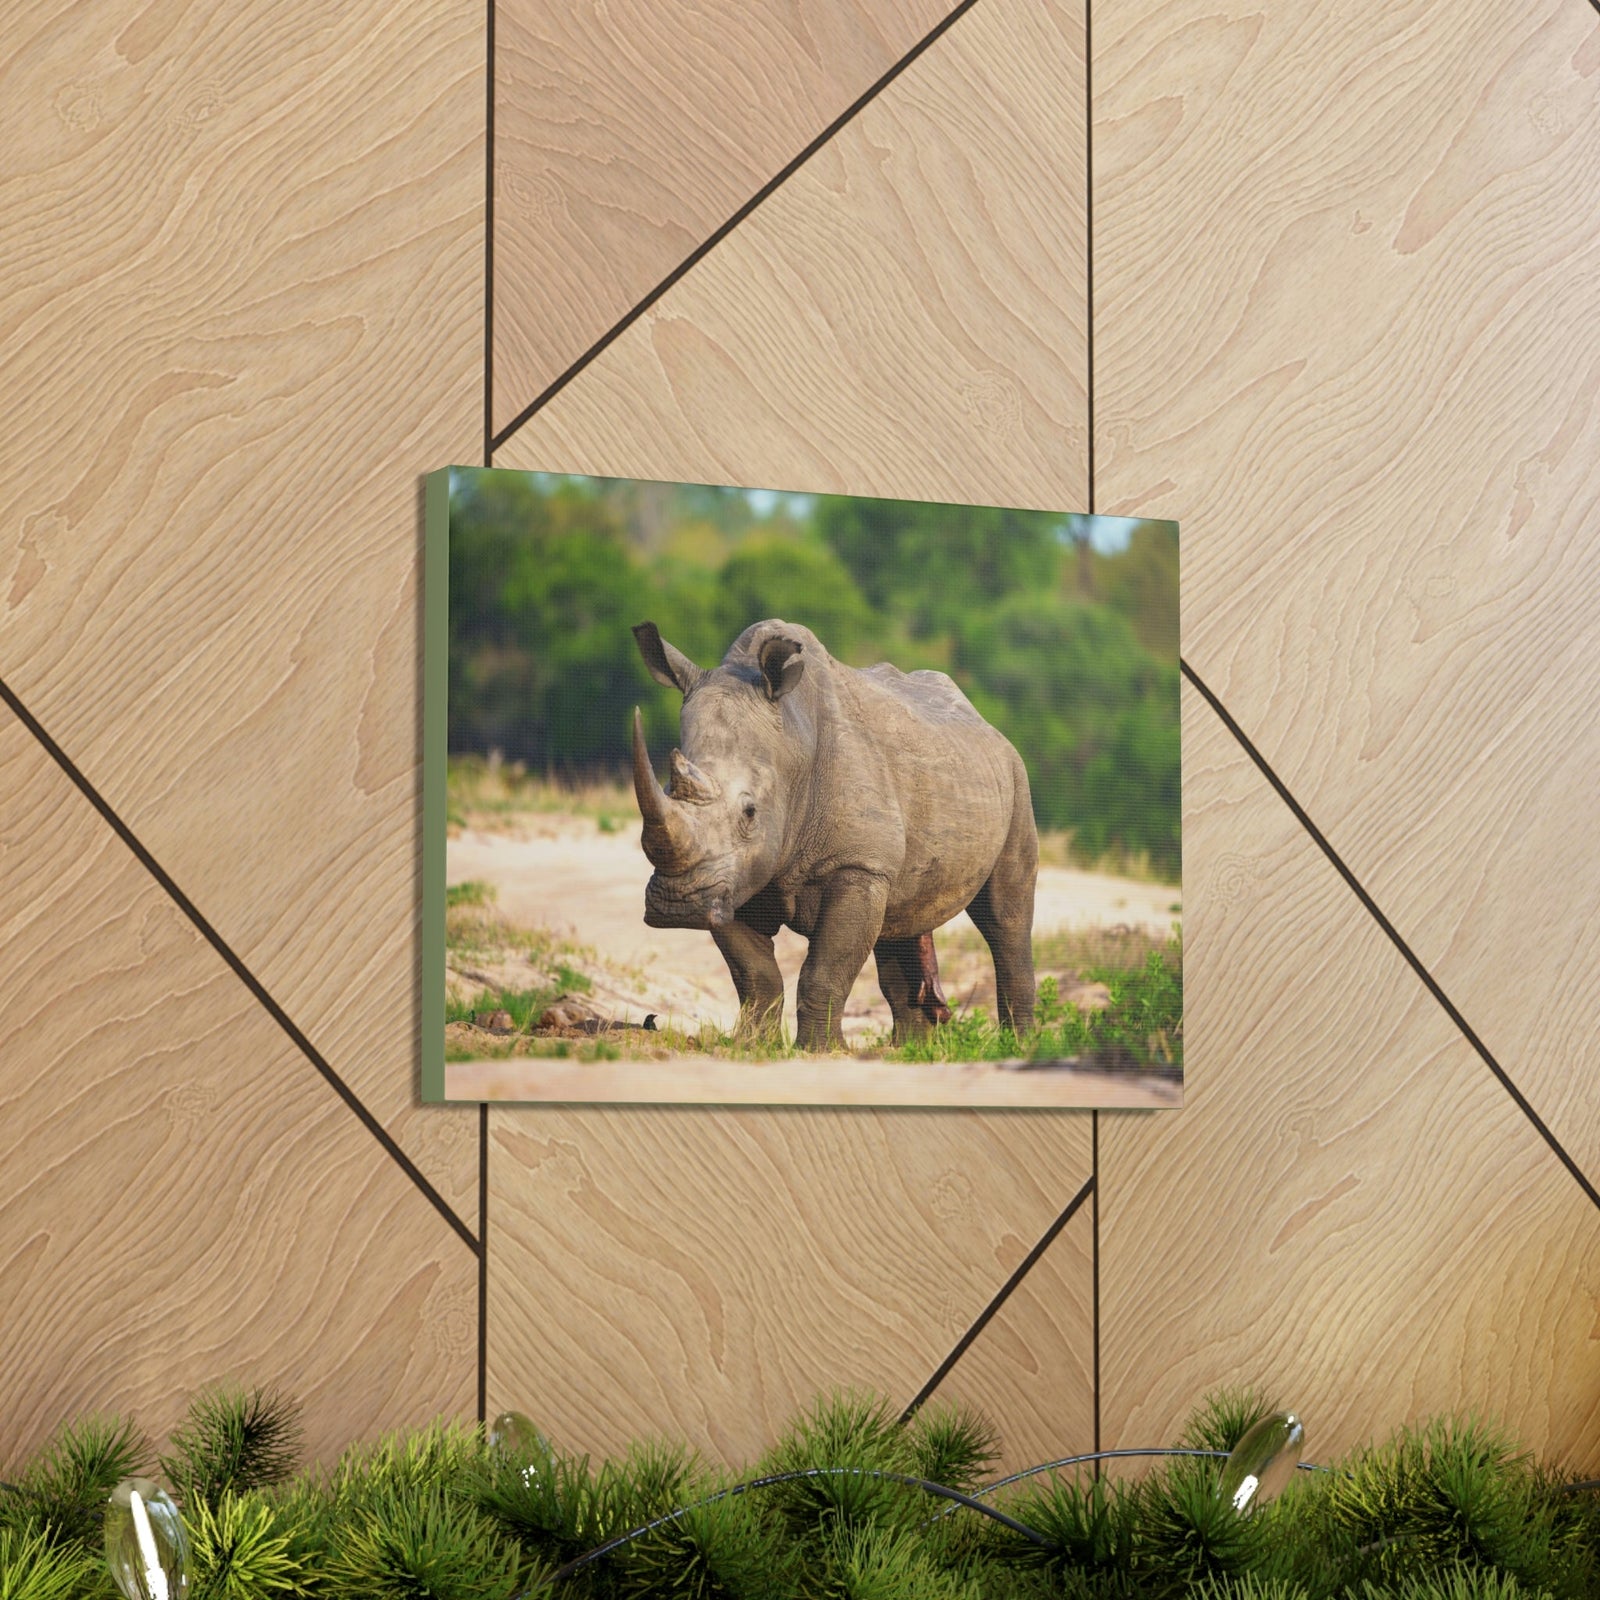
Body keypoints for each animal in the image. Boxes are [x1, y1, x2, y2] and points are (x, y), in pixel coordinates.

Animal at [630, 618, 1037, 1051]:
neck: (793, 743)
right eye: (667, 791)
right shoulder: (731, 878)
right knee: (900, 918)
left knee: (1005, 917)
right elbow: (755, 974)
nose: (677, 905)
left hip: (1015, 776)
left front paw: (819, 1051)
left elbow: (825, 967)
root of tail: (984, 722)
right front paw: (753, 1046)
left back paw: (1020, 1045)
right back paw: (907, 1050)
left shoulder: (857, 865)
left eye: (750, 812)